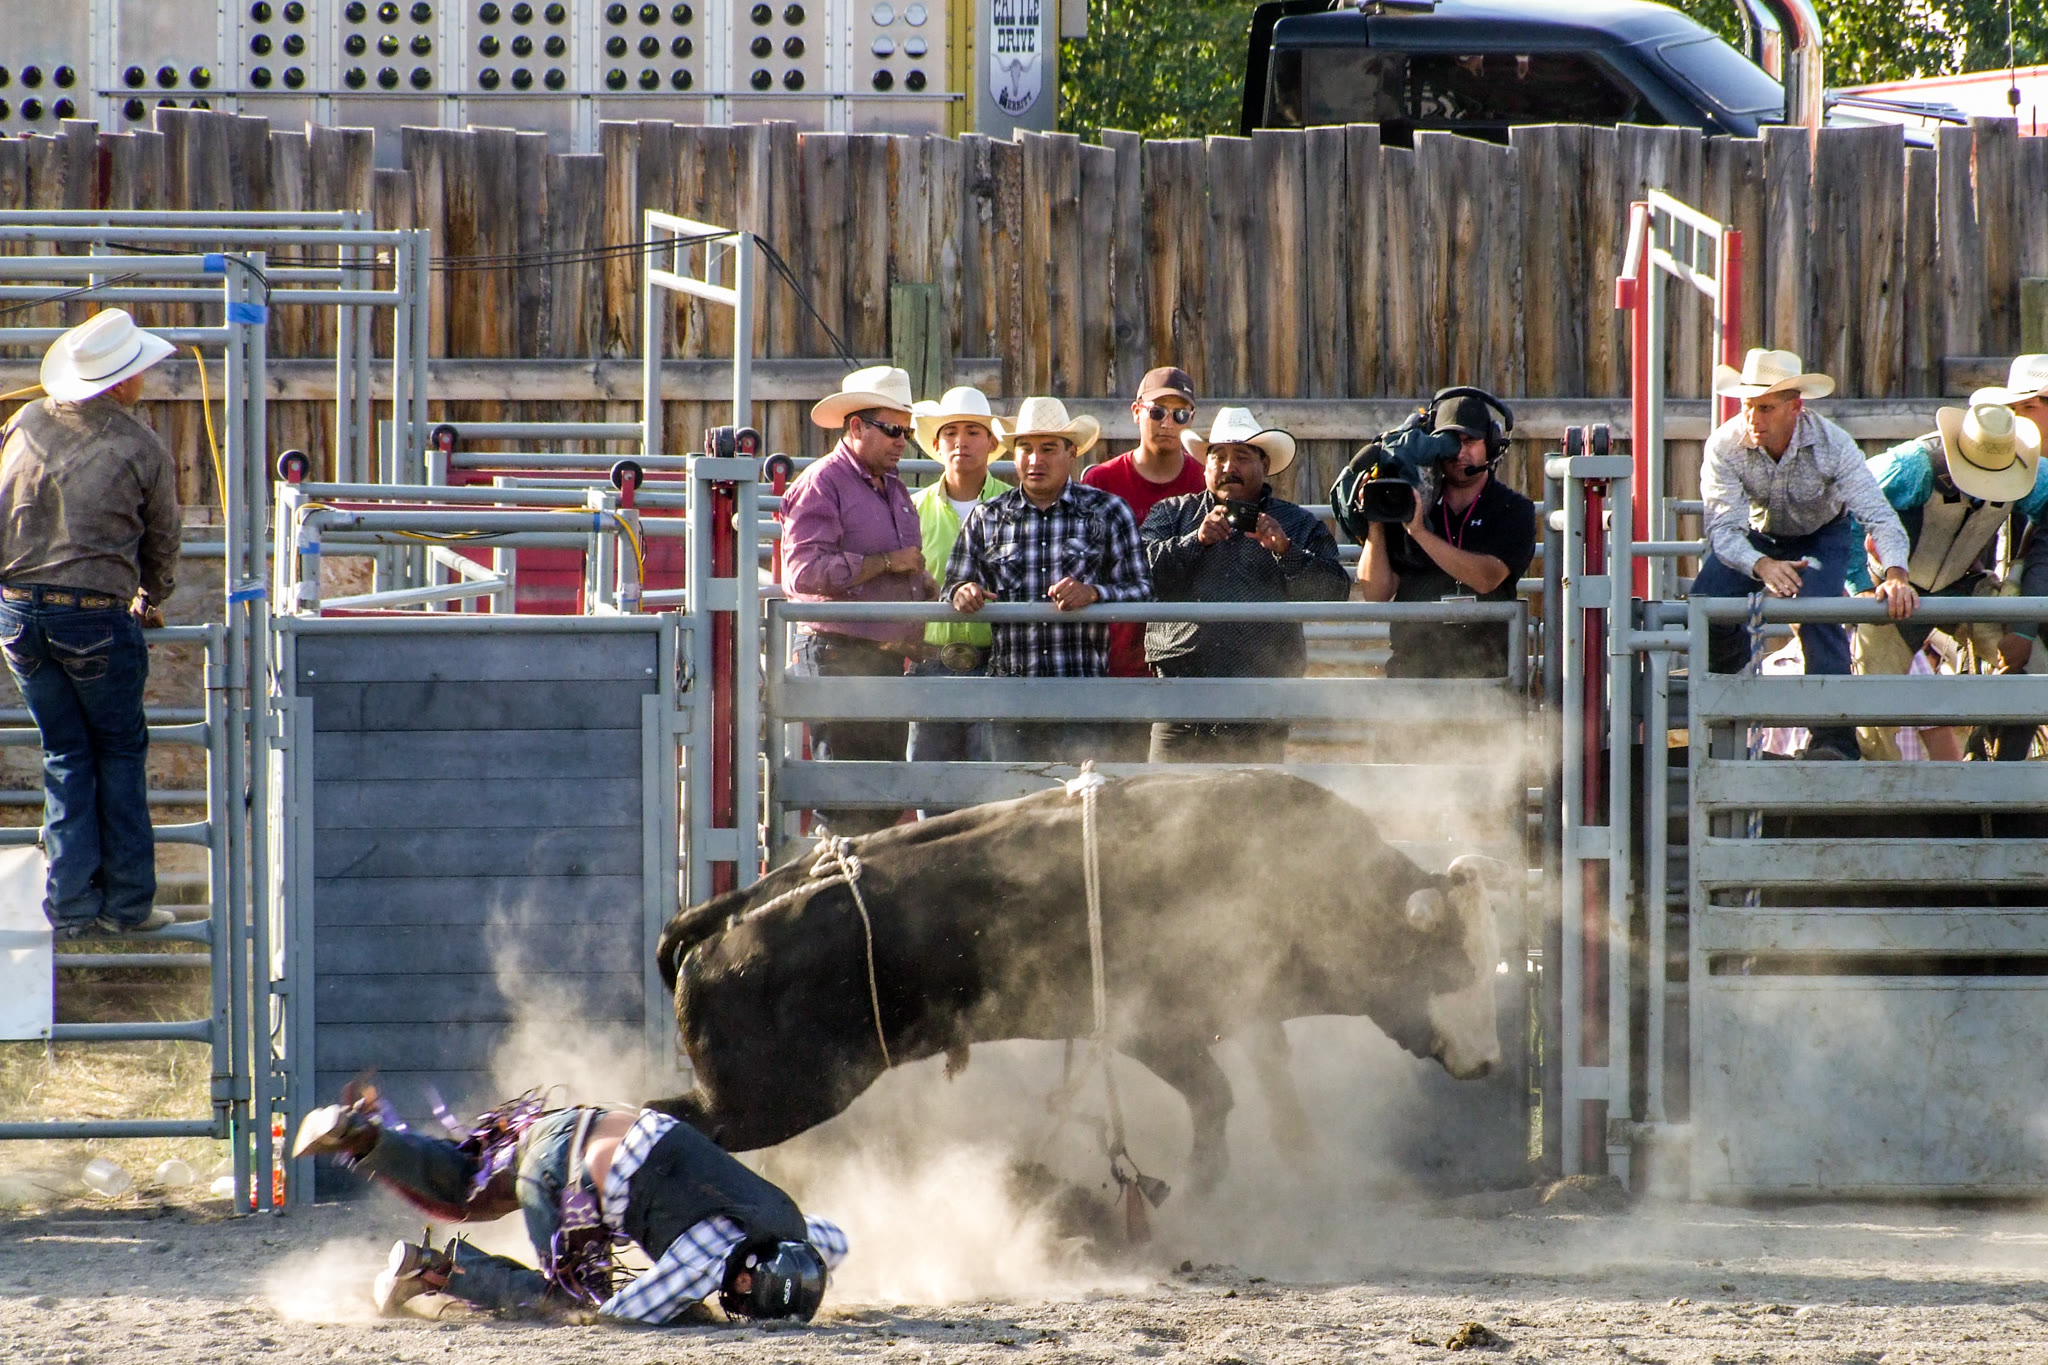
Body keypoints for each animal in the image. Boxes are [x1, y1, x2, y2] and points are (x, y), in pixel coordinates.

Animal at [650, 769, 1506, 1192]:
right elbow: (1216, 1098)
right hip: (771, 1097)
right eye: (1454, 965)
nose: (1493, 1060)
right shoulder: (1156, 1028)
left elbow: (1268, 1073)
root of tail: (727, 918)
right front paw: (1200, 1187)